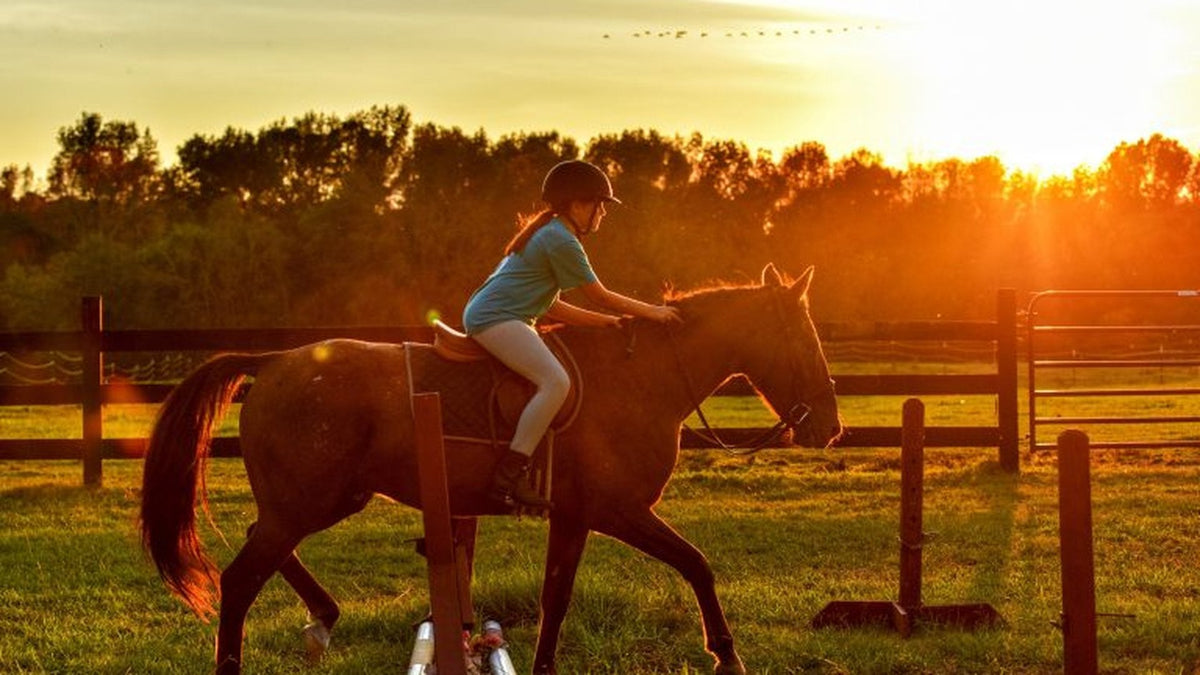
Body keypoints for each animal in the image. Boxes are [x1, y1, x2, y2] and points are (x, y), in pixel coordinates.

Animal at [139, 263, 841, 675]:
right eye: (804, 340)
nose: (830, 427)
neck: (642, 378)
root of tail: (275, 361)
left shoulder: (577, 516)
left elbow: (557, 596)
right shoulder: (618, 510)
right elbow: (696, 564)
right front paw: (726, 655)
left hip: (321, 500)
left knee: (262, 547)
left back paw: (323, 619)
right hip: (310, 502)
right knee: (240, 577)